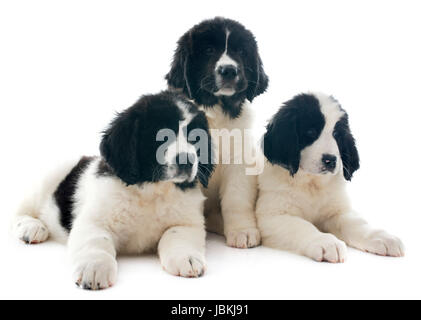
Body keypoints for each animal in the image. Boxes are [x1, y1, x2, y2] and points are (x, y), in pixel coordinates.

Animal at [11, 91, 215, 288]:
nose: (187, 160)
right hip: (48, 180)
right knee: (20, 211)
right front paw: (94, 267)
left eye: (196, 138)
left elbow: (178, 235)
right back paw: (32, 227)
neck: (152, 189)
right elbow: (97, 241)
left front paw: (187, 258)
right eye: (162, 135)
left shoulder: (187, 222)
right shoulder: (94, 220)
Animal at [166, 16, 268, 249]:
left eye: (241, 51)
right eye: (209, 50)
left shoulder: (239, 161)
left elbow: (236, 199)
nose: (229, 70)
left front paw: (242, 231)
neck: (217, 113)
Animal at [256, 92, 404, 262]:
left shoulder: (337, 212)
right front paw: (326, 242)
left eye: (336, 134)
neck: (311, 184)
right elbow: (302, 226)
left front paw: (381, 237)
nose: (330, 160)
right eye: (311, 132)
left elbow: (356, 223)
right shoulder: (272, 216)